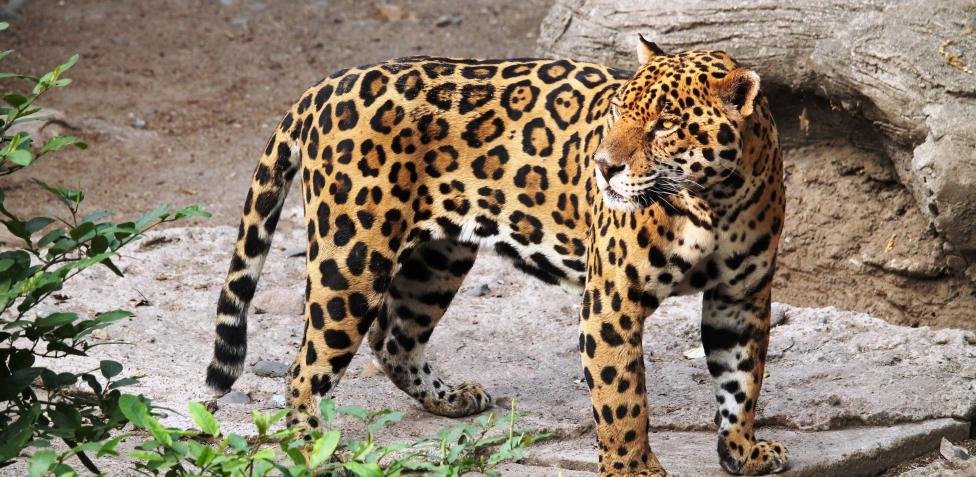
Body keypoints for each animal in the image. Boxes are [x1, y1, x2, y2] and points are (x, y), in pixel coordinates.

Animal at [205, 35, 788, 476]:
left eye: (666, 124)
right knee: (305, 368)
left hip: (438, 260)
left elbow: (741, 381)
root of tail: (326, 86)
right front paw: (633, 470)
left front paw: (742, 452)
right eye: (619, 112)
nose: (603, 167)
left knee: (394, 337)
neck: (713, 202)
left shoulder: (741, 300)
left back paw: (451, 399)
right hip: (352, 259)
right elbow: (624, 402)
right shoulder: (612, 304)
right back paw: (311, 449)